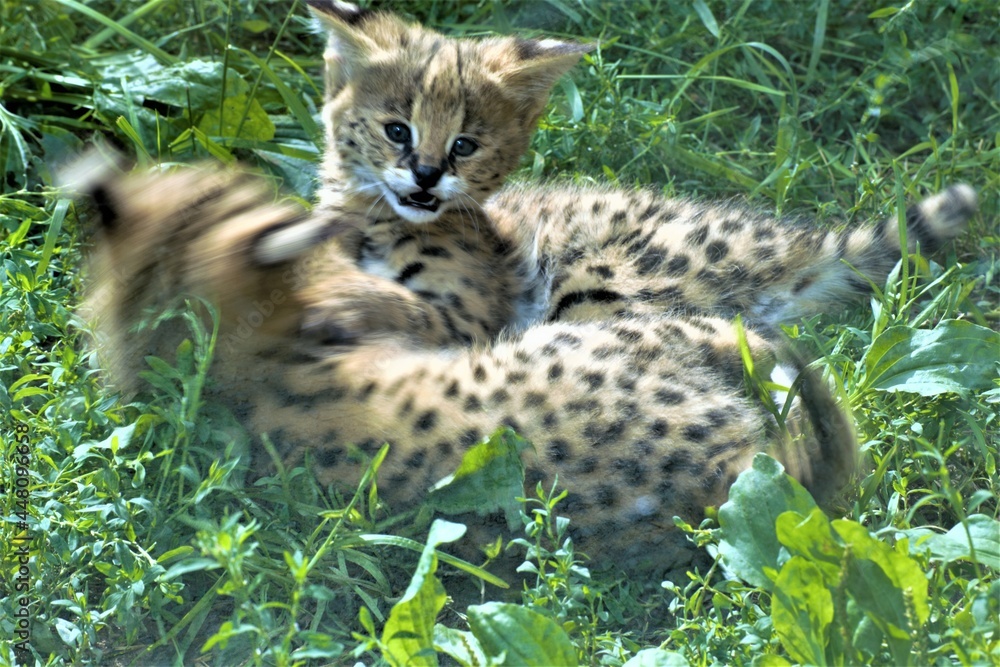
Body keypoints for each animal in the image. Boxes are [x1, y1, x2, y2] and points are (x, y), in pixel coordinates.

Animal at [74, 0, 977, 578]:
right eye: (397, 128)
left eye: (467, 143)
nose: (426, 176)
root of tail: (786, 246)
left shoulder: (463, 316)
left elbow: (379, 302)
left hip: (602, 286)